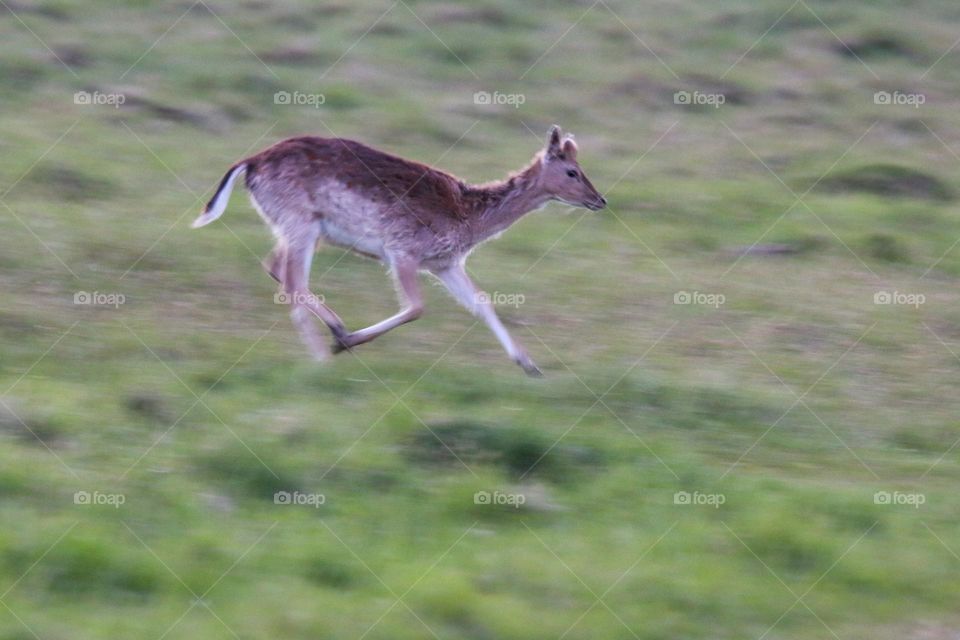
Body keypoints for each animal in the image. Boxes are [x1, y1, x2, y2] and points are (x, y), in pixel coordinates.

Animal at [191, 125, 606, 376]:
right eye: (572, 171)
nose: (600, 200)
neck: (469, 218)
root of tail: (250, 163)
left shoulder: (444, 263)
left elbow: (482, 302)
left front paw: (530, 365)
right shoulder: (402, 250)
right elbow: (416, 307)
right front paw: (348, 342)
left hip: (301, 229)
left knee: (276, 267)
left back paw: (336, 331)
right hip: (300, 222)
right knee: (292, 283)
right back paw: (325, 353)